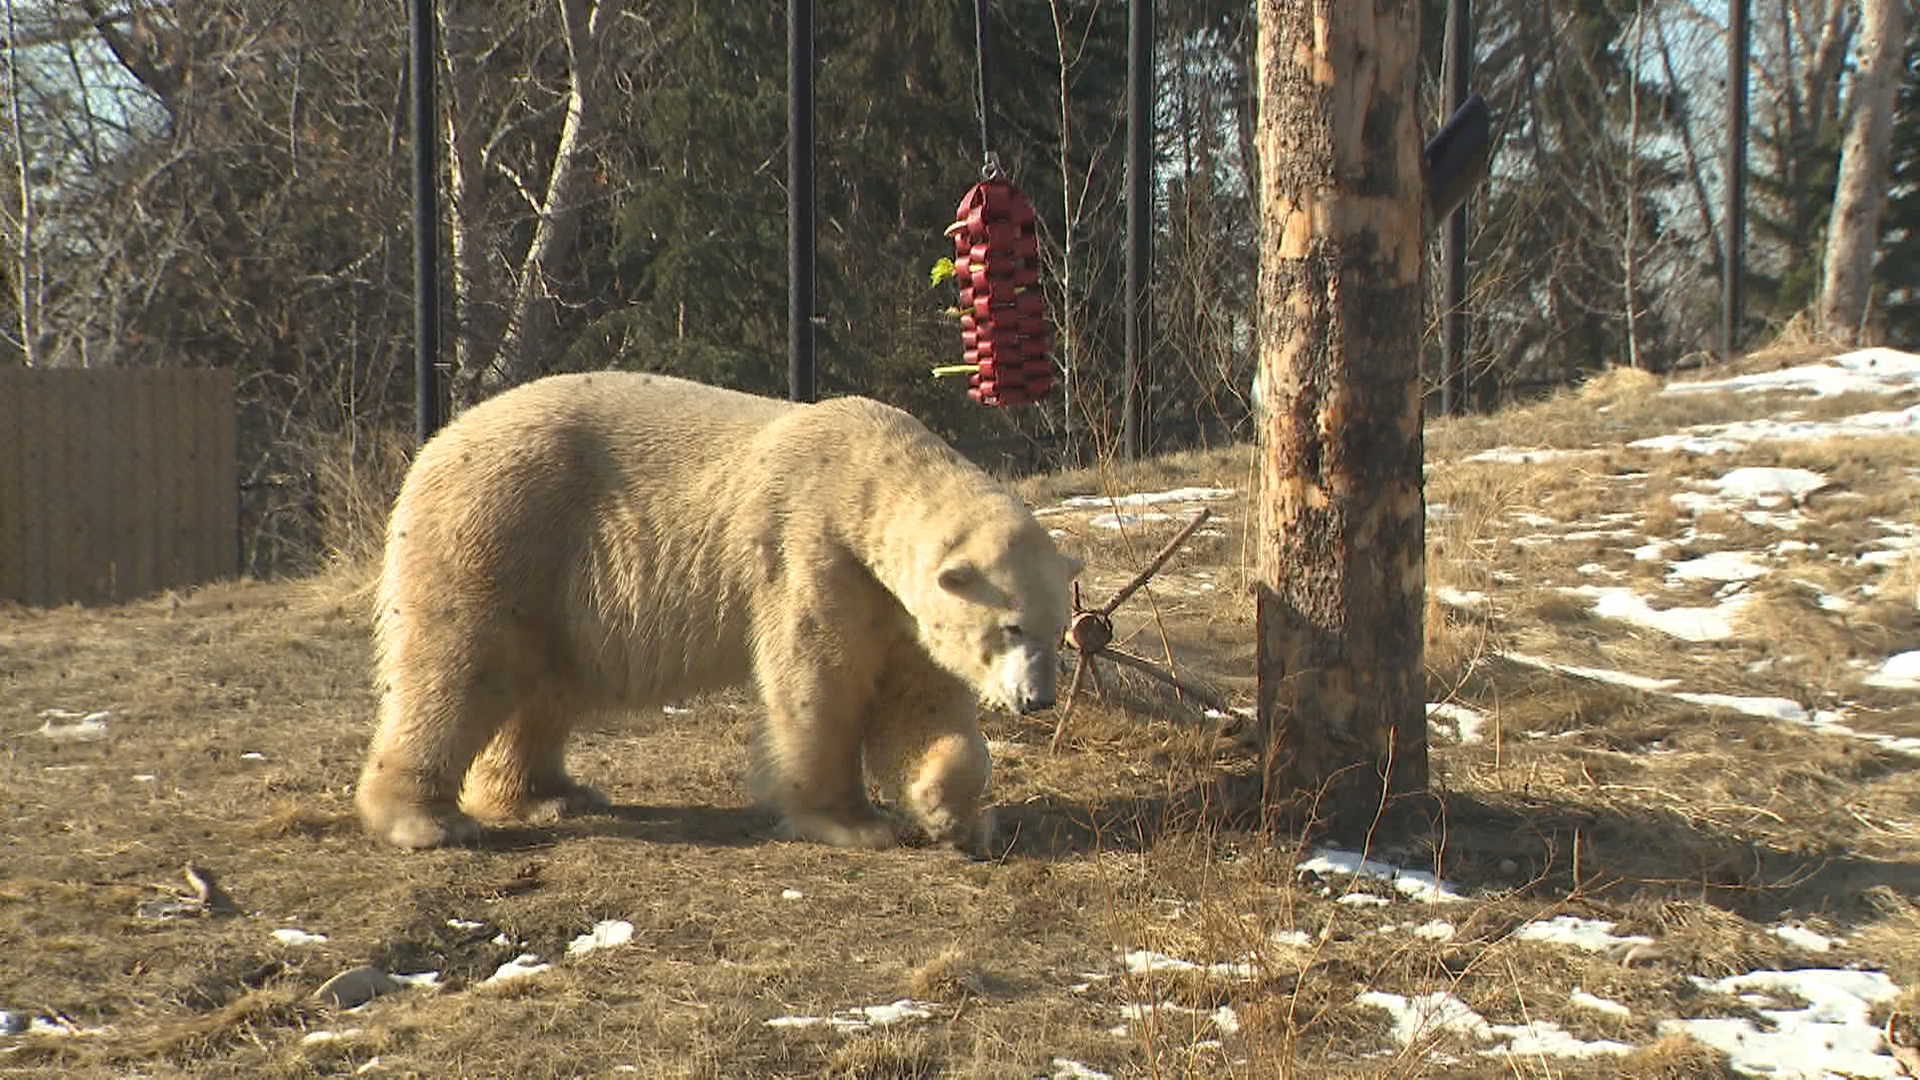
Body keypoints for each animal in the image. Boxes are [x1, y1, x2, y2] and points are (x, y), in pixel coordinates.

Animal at [354, 371, 1081, 857]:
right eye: (1011, 626)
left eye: (1059, 631)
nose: (1037, 700)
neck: (867, 476)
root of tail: (437, 443)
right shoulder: (813, 550)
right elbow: (820, 684)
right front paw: (853, 823)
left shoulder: (896, 605)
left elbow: (919, 700)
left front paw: (953, 813)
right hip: (500, 528)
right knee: (456, 667)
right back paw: (426, 821)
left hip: (554, 582)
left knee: (545, 684)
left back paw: (547, 795)